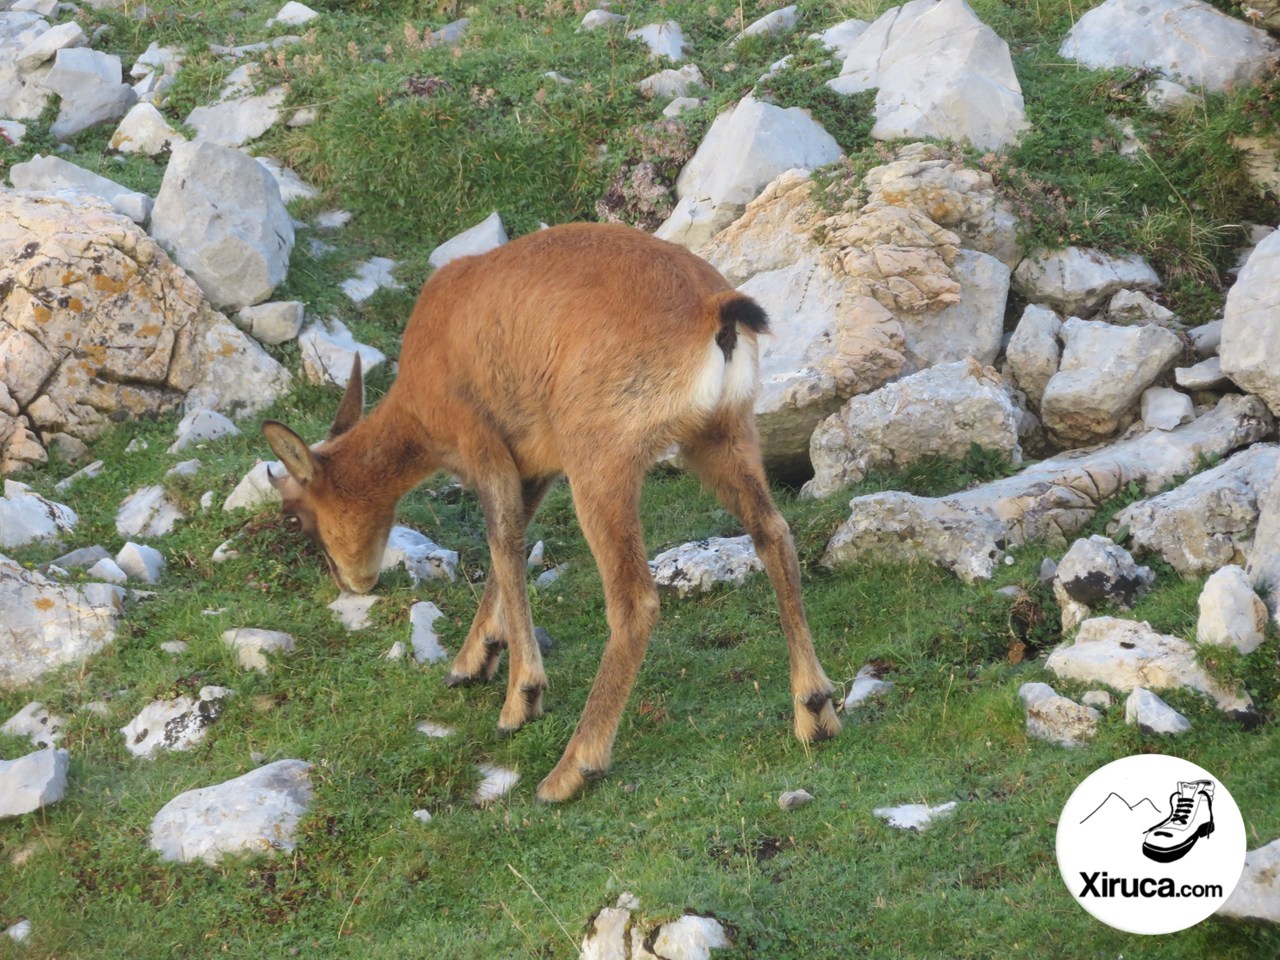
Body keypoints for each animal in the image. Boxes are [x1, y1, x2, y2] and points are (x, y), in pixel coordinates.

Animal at [261, 222, 840, 802]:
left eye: (299, 517)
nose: (351, 582)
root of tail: (714, 310)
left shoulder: (484, 445)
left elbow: (503, 541)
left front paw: (519, 697)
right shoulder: (537, 464)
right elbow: (513, 537)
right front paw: (474, 659)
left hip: (601, 460)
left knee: (634, 599)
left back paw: (573, 767)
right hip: (724, 436)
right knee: (773, 534)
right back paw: (815, 709)